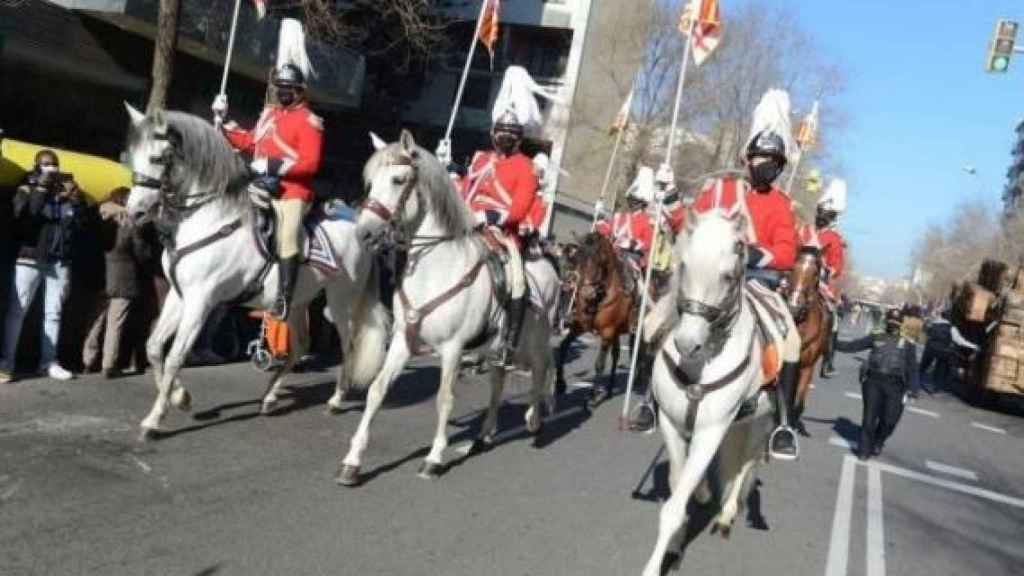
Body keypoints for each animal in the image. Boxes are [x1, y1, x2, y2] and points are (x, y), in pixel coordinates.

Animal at [122, 103, 387, 436]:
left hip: (341, 301)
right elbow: (155, 347)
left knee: (348, 344)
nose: (134, 213)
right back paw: (270, 397)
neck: (210, 218)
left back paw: (336, 399)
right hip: (297, 302)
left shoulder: (201, 301)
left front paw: (155, 418)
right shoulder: (179, 296)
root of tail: (359, 226)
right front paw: (180, 397)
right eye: (132, 155)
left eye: (157, 158)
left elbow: (175, 357)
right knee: (300, 345)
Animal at [335, 130, 561, 483]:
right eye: (370, 182)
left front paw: (434, 457)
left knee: (540, 373)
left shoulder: (453, 348)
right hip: (499, 349)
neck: (436, 270)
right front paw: (353, 460)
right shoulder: (403, 340)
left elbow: (444, 399)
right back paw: (485, 435)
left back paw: (534, 419)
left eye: (399, 180)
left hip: (534, 343)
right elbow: (377, 389)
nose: (365, 233)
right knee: (499, 383)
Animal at [561, 230, 638, 405]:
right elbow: (563, 347)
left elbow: (599, 364)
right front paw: (559, 385)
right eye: (579, 259)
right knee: (616, 354)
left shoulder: (607, 333)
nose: (587, 293)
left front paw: (591, 398)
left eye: (601, 261)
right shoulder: (579, 326)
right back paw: (609, 390)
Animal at [643, 207, 770, 573]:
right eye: (683, 265)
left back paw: (726, 516)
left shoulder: (711, 431)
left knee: (745, 465)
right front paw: (676, 542)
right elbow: (677, 485)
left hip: (760, 423)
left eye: (728, 276)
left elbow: (674, 506)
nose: (688, 343)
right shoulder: (672, 424)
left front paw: (654, 565)